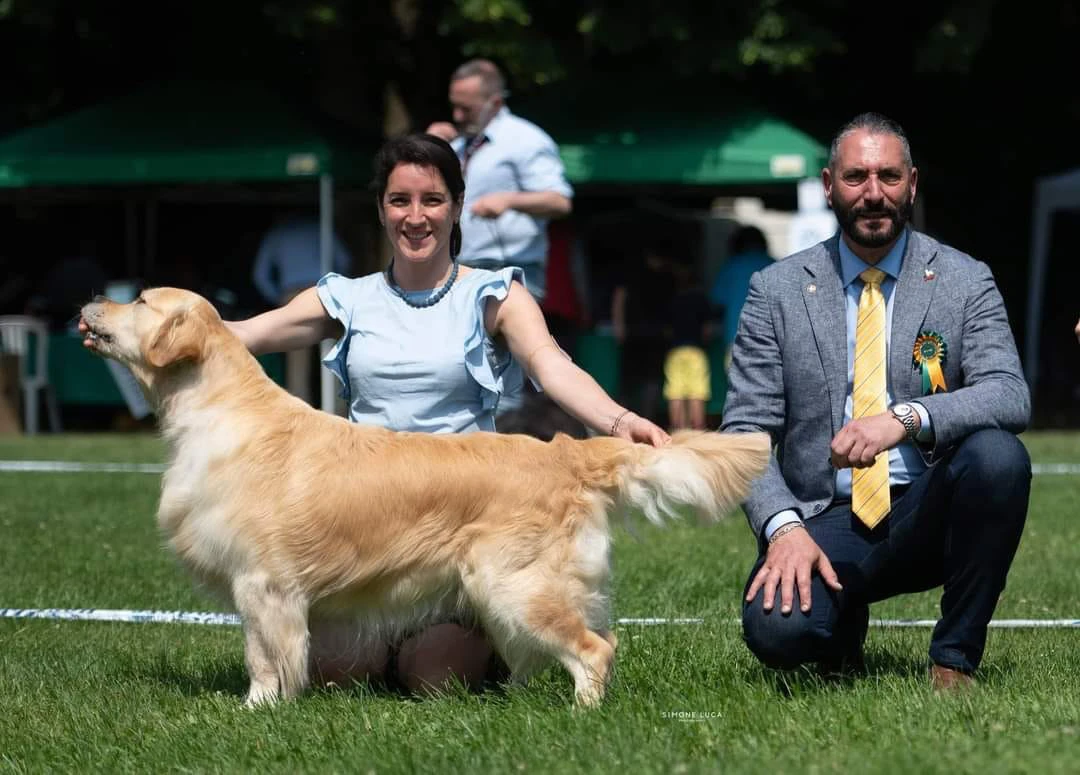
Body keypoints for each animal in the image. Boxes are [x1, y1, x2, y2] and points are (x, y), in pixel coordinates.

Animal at [79, 289, 773, 708]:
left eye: (139, 299)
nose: (89, 302)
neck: (222, 411)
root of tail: (565, 451)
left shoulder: (263, 584)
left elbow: (264, 658)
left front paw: (256, 710)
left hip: (516, 585)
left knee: (595, 648)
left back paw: (581, 714)